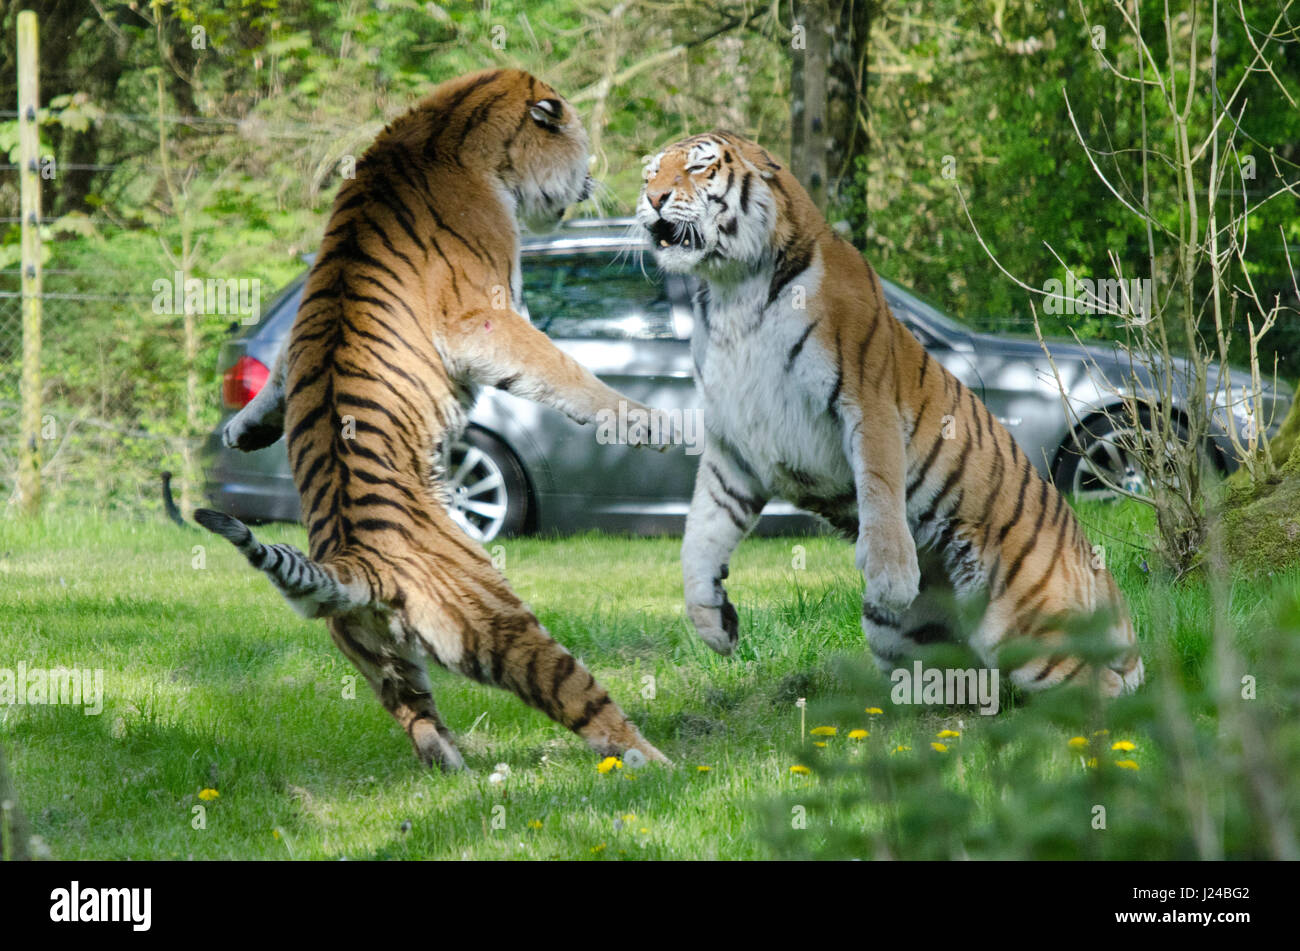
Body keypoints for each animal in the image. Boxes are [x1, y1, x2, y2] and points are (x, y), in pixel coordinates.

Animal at [192, 70, 670, 769]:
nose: (599, 177)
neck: (445, 128)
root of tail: (355, 569)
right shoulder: (485, 315)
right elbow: (561, 369)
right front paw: (643, 420)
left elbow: (279, 375)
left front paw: (243, 428)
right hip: (499, 618)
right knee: (584, 701)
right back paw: (659, 765)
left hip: (377, 657)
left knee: (420, 726)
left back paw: (460, 768)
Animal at [637, 133, 1138, 696]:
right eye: (651, 173)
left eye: (698, 168)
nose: (653, 199)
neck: (731, 292)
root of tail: (1098, 569)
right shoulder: (733, 446)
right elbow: (700, 533)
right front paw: (709, 621)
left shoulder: (865, 399)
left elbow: (878, 487)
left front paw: (892, 578)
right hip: (901, 640)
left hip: (1027, 627)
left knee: (1104, 689)